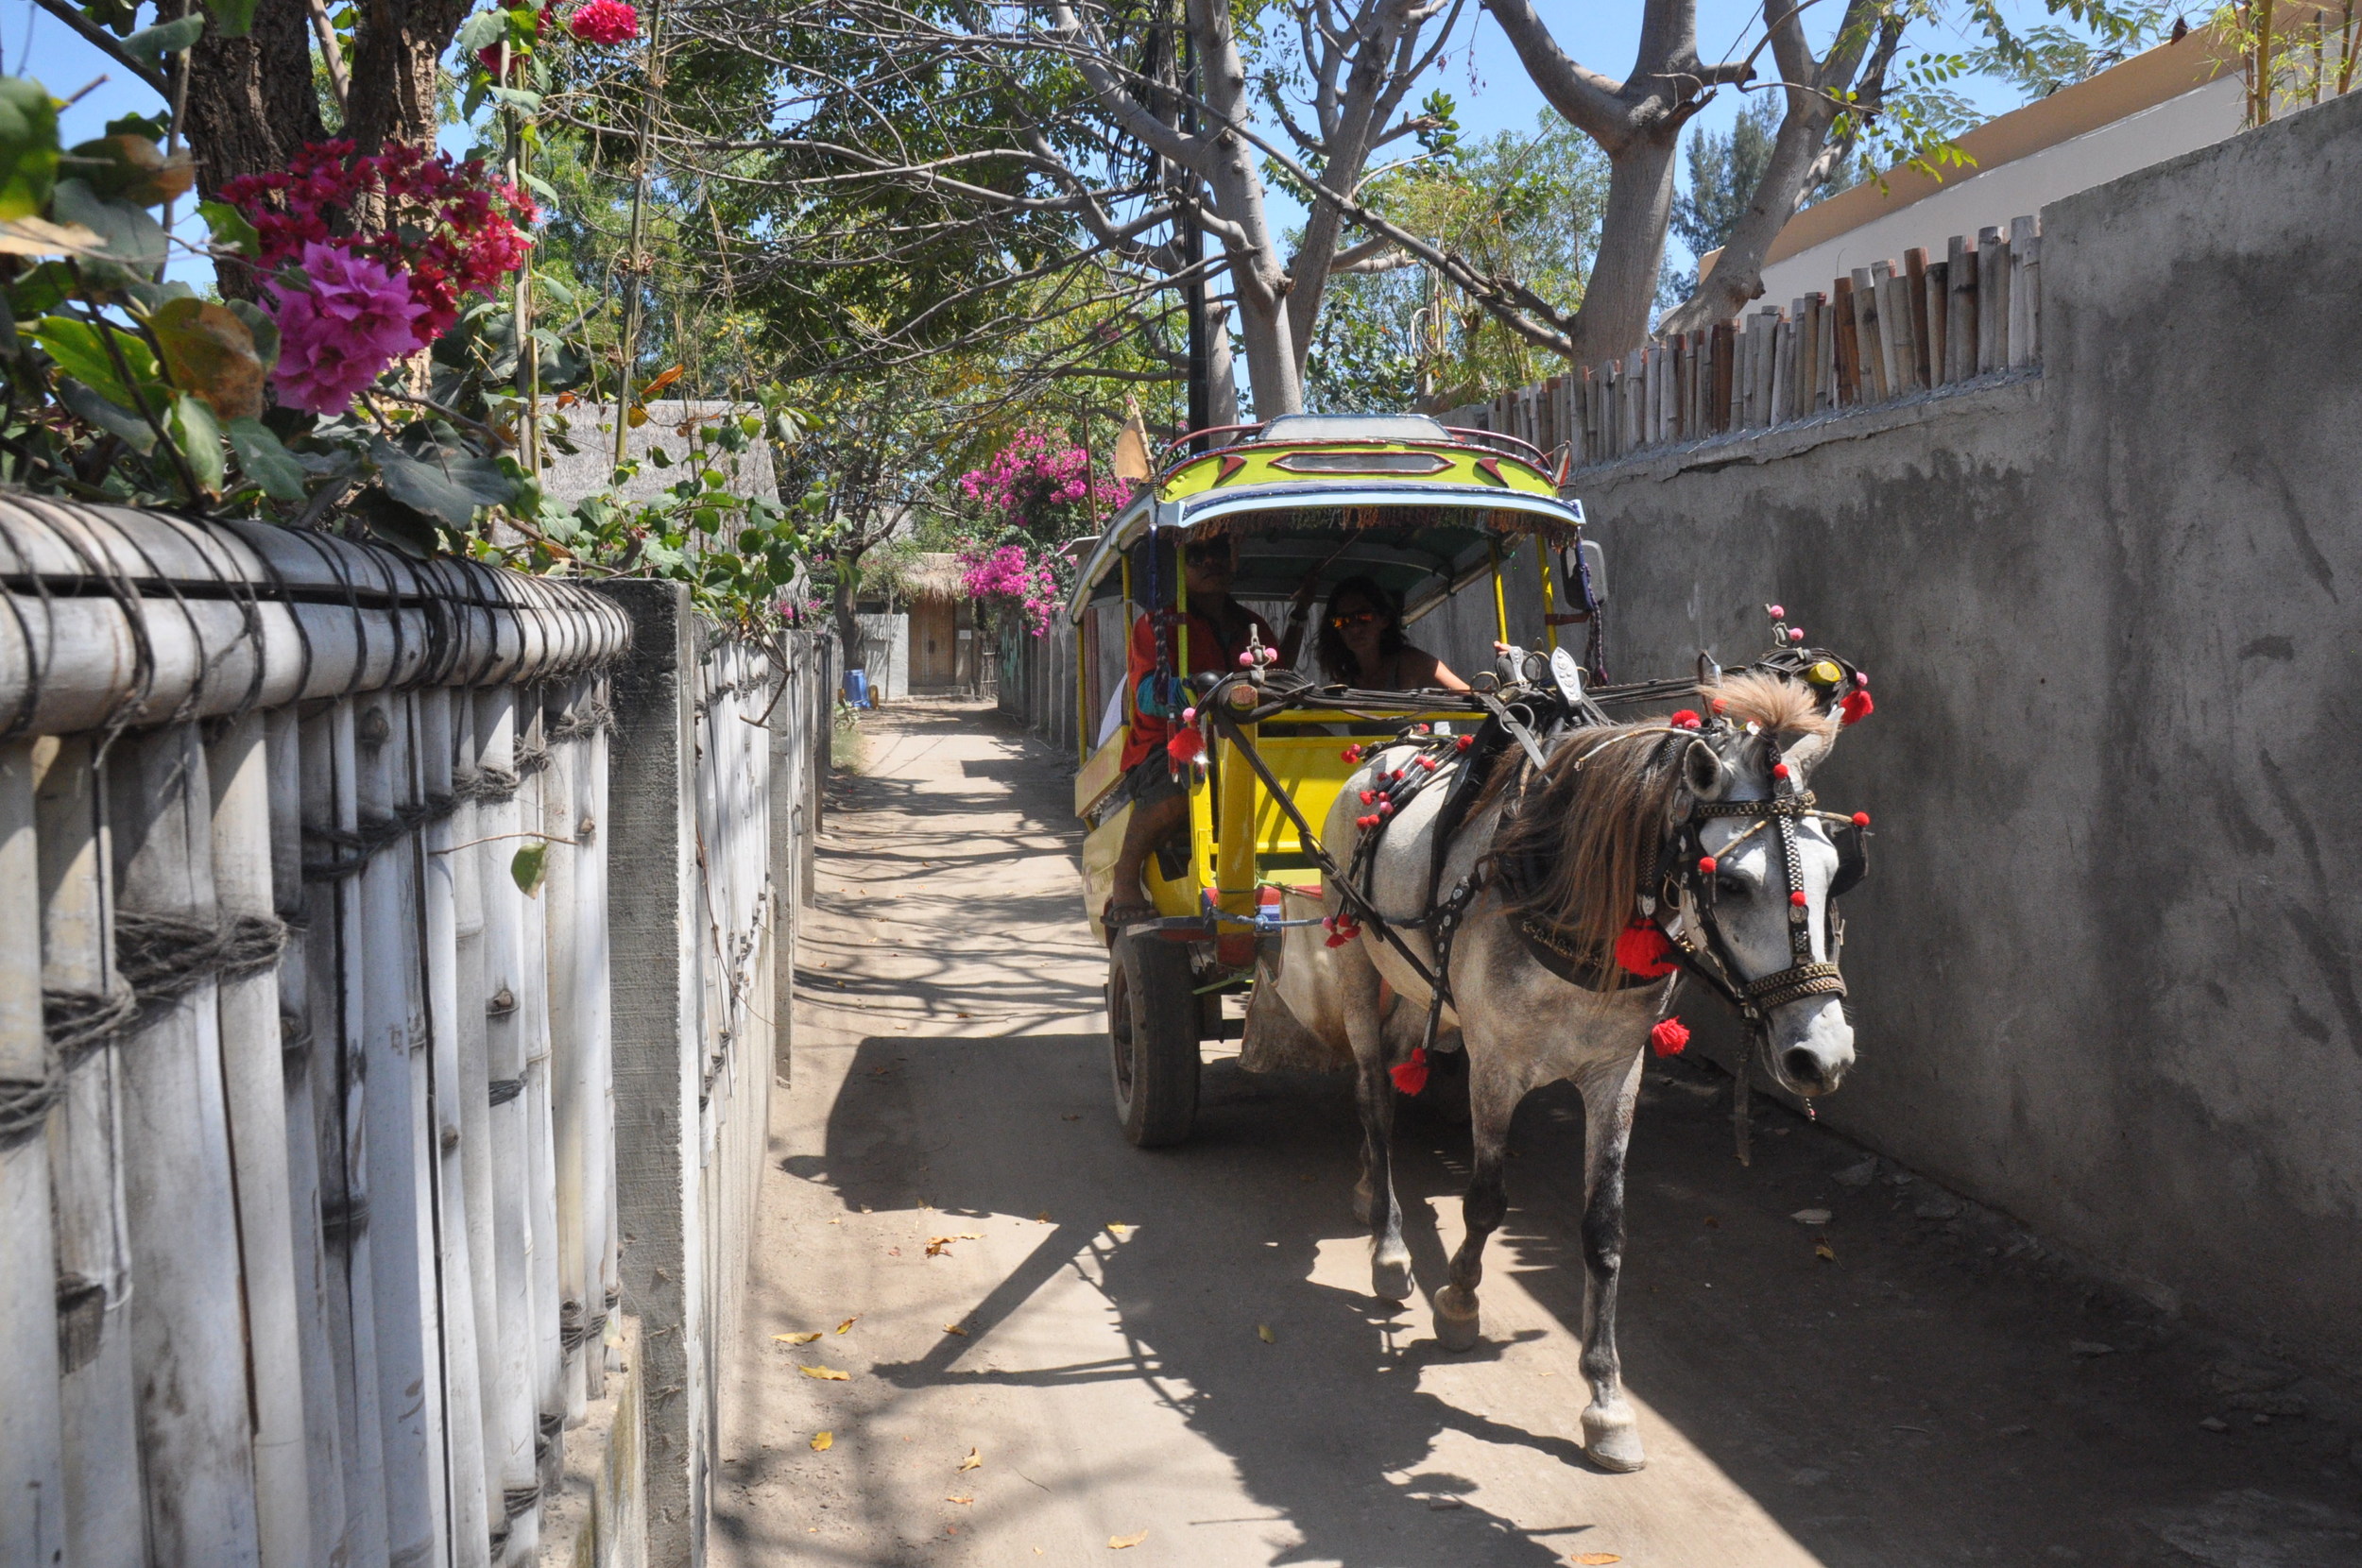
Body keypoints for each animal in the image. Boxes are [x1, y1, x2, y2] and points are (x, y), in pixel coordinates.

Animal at [1257, 666, 1861, 1474]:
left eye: (1837, 871)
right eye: (1730, 884)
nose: (1820, 1055)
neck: (1573, 899)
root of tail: (1390, 749)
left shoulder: (1617, 1072)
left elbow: (1605, 1230)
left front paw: (1606, 1401)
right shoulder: (1494, 1064)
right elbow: (1484, 1201)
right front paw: (1459, 1302)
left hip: (1418, 981)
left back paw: (1364, 1191)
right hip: (1353, 950)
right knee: (1375, 1097)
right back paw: (1388, 1246)